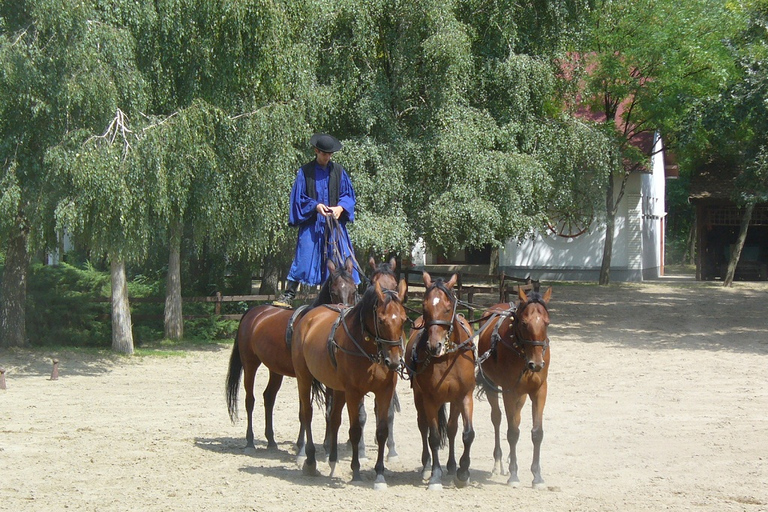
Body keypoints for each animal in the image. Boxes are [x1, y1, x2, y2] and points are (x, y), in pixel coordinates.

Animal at [222, 258, 354, 450]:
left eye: (354, 289)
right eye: (333, 291)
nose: (344, 311)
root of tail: (253, 312)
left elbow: (330, 410)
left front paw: (328, 443)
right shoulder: (303, 376)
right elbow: (304, 410)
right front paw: (302, 444)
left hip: (275, 369)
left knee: (268, 397)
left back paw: (271, 440)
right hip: (250, 363)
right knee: (250, 400)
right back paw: (250, 440)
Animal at [292, 280, 408, 488]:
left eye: (403, 320)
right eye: (381, 320)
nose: (394, 361)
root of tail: (308, 318)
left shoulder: (384, 391)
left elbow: (382, 431)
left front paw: (380, 474)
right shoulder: (354, 393)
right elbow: (355, 430)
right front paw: (356, 471)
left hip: (338, 389)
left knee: (334, 419)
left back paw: (332, 461)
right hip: (303, 378)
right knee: (307, 414)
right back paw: (310, 460)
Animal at [404, 274, 476, 490]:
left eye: (447, 307)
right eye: (424, 306)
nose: (434, 346)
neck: (446, 357)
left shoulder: (465, 396)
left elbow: (467, 433)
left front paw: (463, 472)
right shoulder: (429, 399)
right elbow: (434, 437)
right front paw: (435, 475)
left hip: (454, 400)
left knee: (452, 429)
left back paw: (452, 466)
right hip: (419, 397)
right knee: (423, 426)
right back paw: (427, 465)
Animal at [474, 288, 552, 488]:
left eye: (547, 322)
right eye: (524, 323)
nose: (536, 364)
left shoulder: (539, 391)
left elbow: (537, 433)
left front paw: (537, 476)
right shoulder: (509, 391)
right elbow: (512, 432)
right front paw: (514, 475)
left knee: (516, 417)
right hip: (492, 386)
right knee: (497, 418)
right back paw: (498, 462)